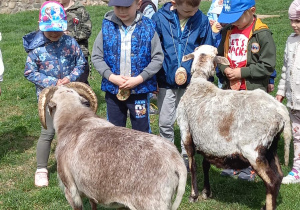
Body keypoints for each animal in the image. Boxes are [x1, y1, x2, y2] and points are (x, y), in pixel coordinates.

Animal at [38, 81, 188, 210]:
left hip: (152, 204)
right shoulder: (89, 189)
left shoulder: (71, 191)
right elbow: (93, 205)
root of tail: (176, 160)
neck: (75, 121)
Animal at [177, 45, 292, 210]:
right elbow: (205, 165)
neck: (199, 83)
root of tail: (281, 111)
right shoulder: (207, 141)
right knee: (279, 176)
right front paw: (206, 192)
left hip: (253, 150)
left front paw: (194, 195)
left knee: (272, 180)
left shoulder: (186, 130)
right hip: (271, 147)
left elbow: (193, 166)